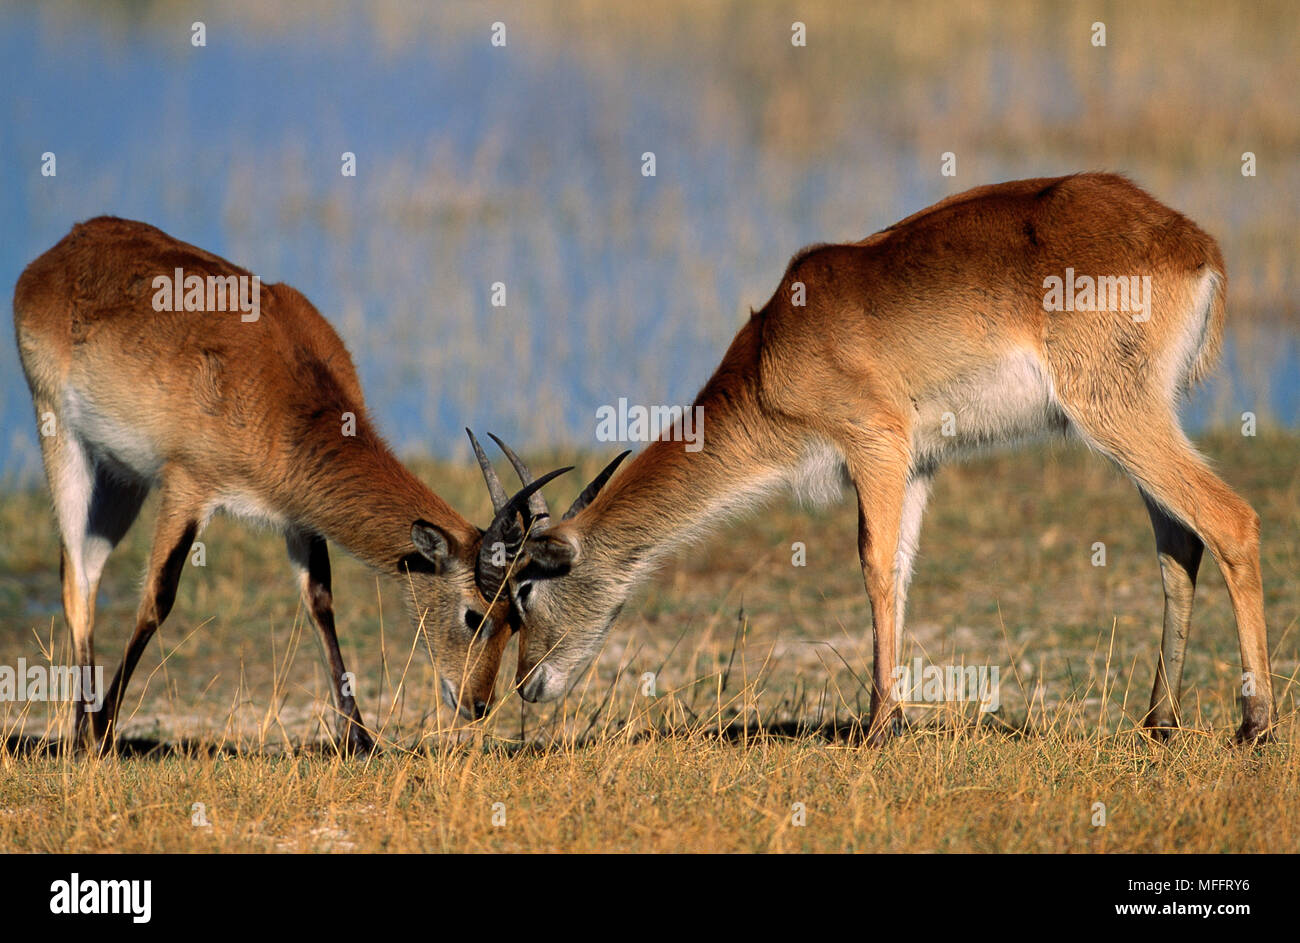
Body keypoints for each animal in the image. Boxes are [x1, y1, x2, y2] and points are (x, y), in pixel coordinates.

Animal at [12, 217, 564, 754]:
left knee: (88, 567)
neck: (282, 395)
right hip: (61, 435)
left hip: (119, 476)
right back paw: (86, 734)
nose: (478, 704)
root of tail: (65, 247)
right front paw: (105, 730)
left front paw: (360, 739)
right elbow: (157, 599)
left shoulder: (298, 512)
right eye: (475, 615)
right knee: (76, 576)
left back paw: (79, 729)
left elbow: (319, 600)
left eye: (517, 618)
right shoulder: (188, 485)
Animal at [496, 171, 1279, 743]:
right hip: (1138, 417)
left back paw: (1255, 724)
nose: (526, 686)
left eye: (524, 587)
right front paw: (893, 716)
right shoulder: (918, 462)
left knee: (1232, 519)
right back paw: (1159, 720)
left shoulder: (875, 442)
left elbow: (873, 564)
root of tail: (1196, 244)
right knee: (1180, 542)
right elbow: (900, 569)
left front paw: (877, 726)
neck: (772, 357)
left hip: (1118, 414)